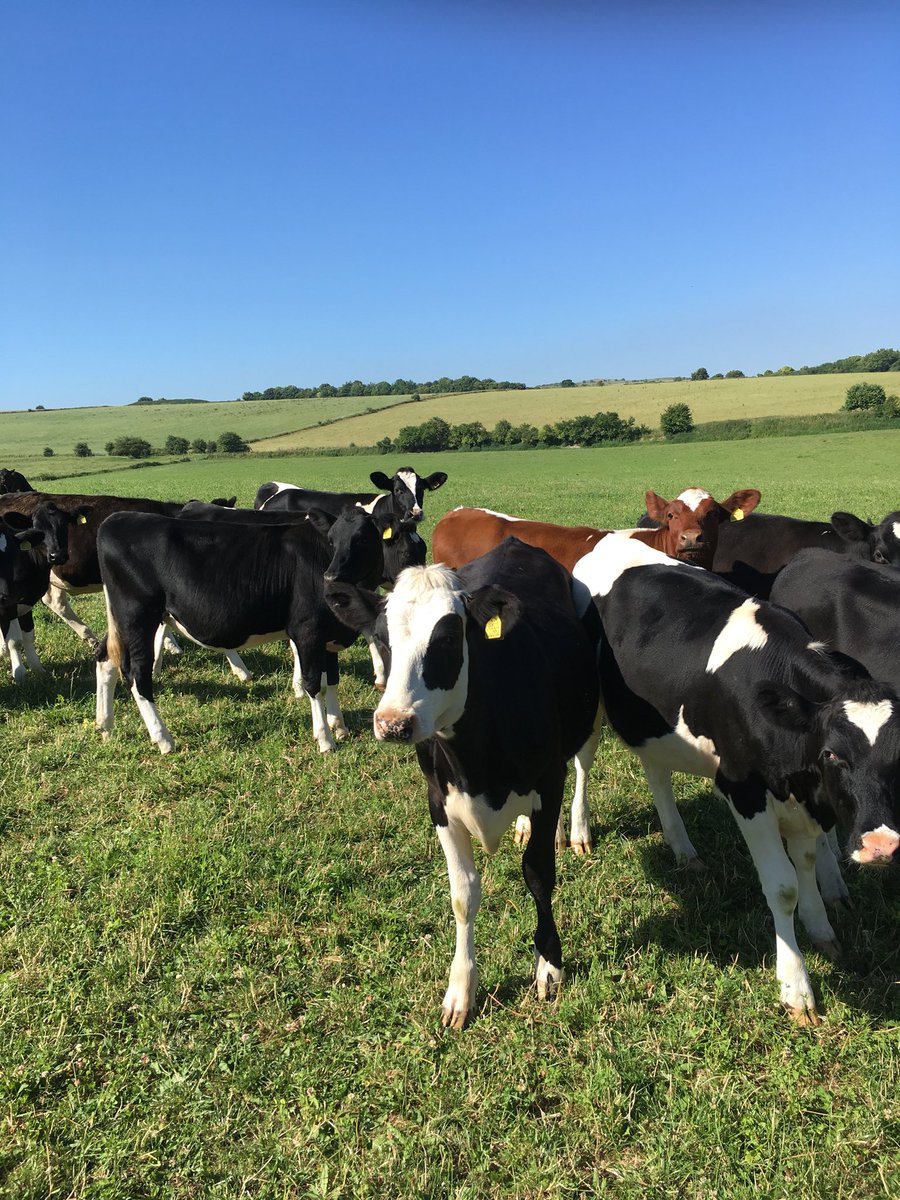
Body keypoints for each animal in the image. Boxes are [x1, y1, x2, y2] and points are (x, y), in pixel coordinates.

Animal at [0, 502, 92, 681]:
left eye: (64, 525)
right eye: (37, 528)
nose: (57, 555)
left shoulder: (25, 601)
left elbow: (28, 635)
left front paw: (37, 669)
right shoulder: (7, 605)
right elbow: (15, 640)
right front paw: (19, 674)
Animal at [95, 507, 387, 755]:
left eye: (362, 539)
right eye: (331, 540)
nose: (331, 576)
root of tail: (117, 518)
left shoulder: (330, 635)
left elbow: (332, 681)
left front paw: (340, 726)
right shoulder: (308, 631)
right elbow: (314, 684)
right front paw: (325, 738)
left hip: (125, 620)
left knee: (106, 658)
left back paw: (105, 726)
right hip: (137, 616)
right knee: (137, 673)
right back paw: (163, 739)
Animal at [324, 537, 601, 1028]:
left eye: (449, 639)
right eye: (382, 639)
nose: (392, 723)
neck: (476, 760)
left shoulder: (549, 781)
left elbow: (539, 874)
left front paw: (549, 965)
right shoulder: (439, 802)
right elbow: (463, 895)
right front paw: (461, 989)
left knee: (584, 765)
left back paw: (578, 830)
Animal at [571, 533, 900, 1024]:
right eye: (831, 753)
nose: (881, 846)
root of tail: (605, 539)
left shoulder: (803, 801)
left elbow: (806, 865)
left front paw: (822, 929)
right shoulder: (745, 792)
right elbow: (783, 886)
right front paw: (796, 988)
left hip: (650, 720)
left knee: (656, 771)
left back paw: (683, 848)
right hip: (589, 704)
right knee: (581, 764)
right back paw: (576, 833)